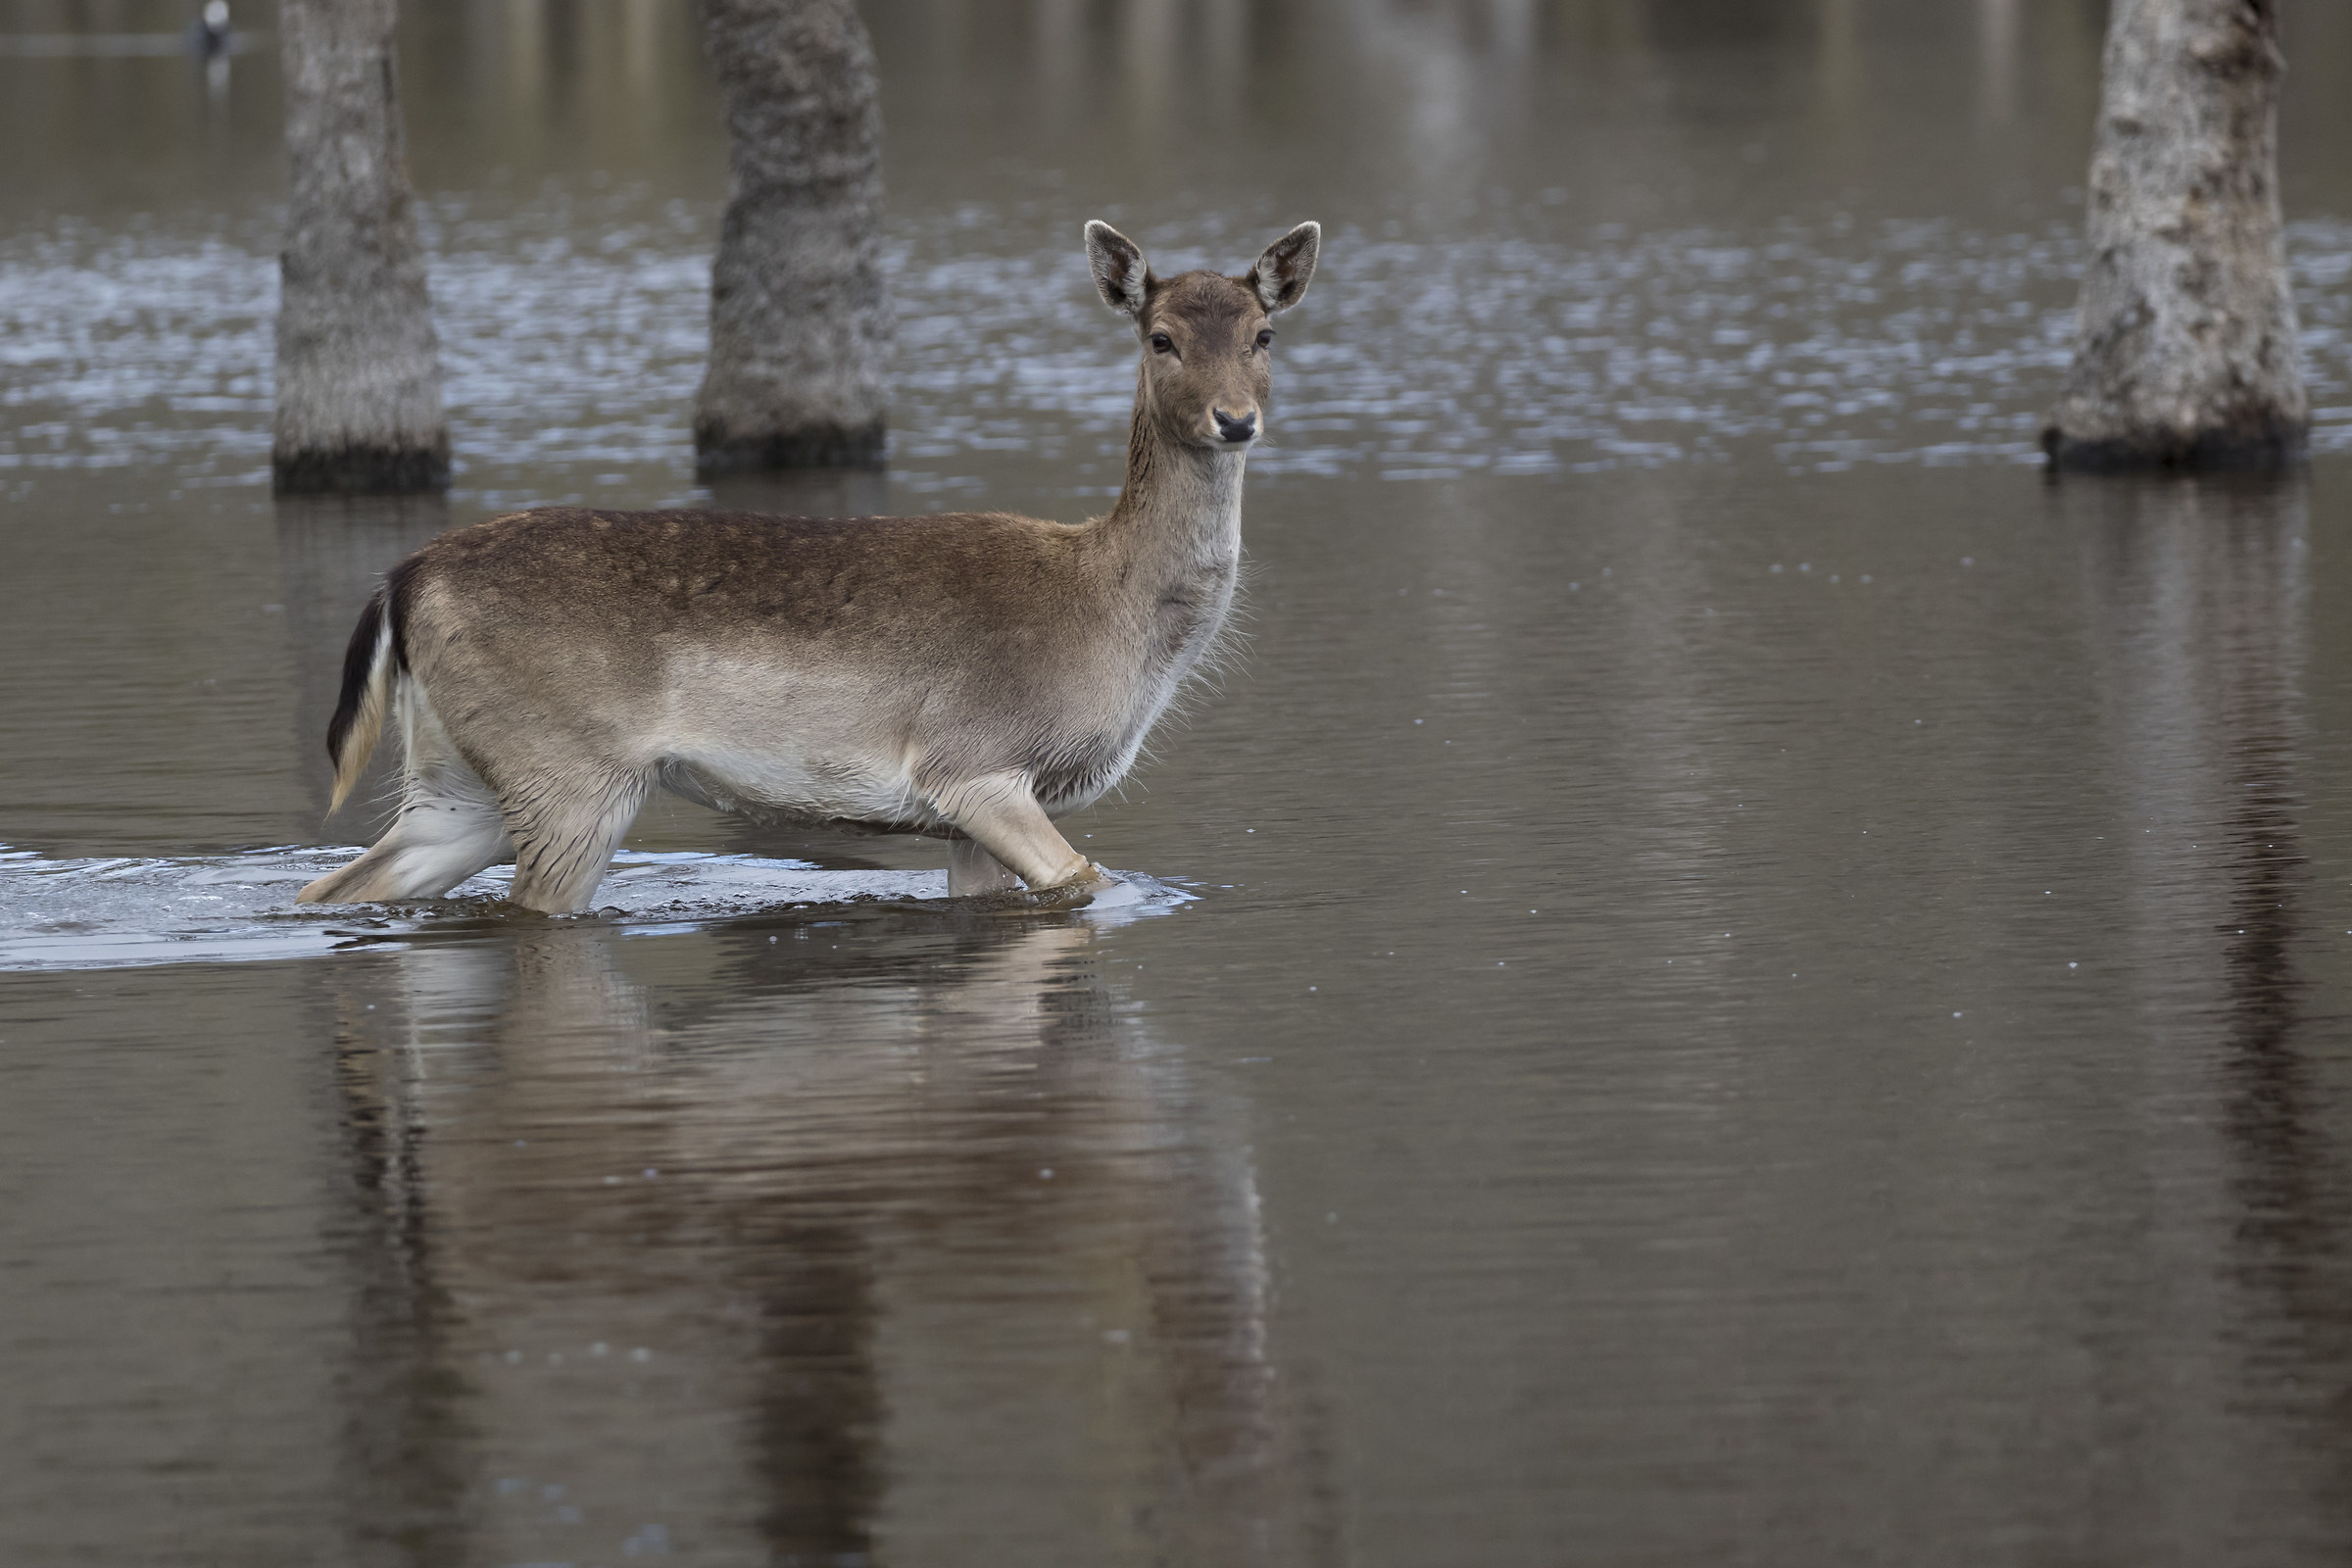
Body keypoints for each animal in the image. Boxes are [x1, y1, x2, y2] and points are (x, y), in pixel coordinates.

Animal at [296, 220, 1321, 914]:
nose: (1235, 420)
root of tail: (404, 578)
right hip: (569, 773)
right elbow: (1089, 883)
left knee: (345, 884)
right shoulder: (972, 761)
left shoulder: (974, 814)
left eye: (1263, 336)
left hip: (456, 781)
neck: (1114, 622)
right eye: (1161, 337)